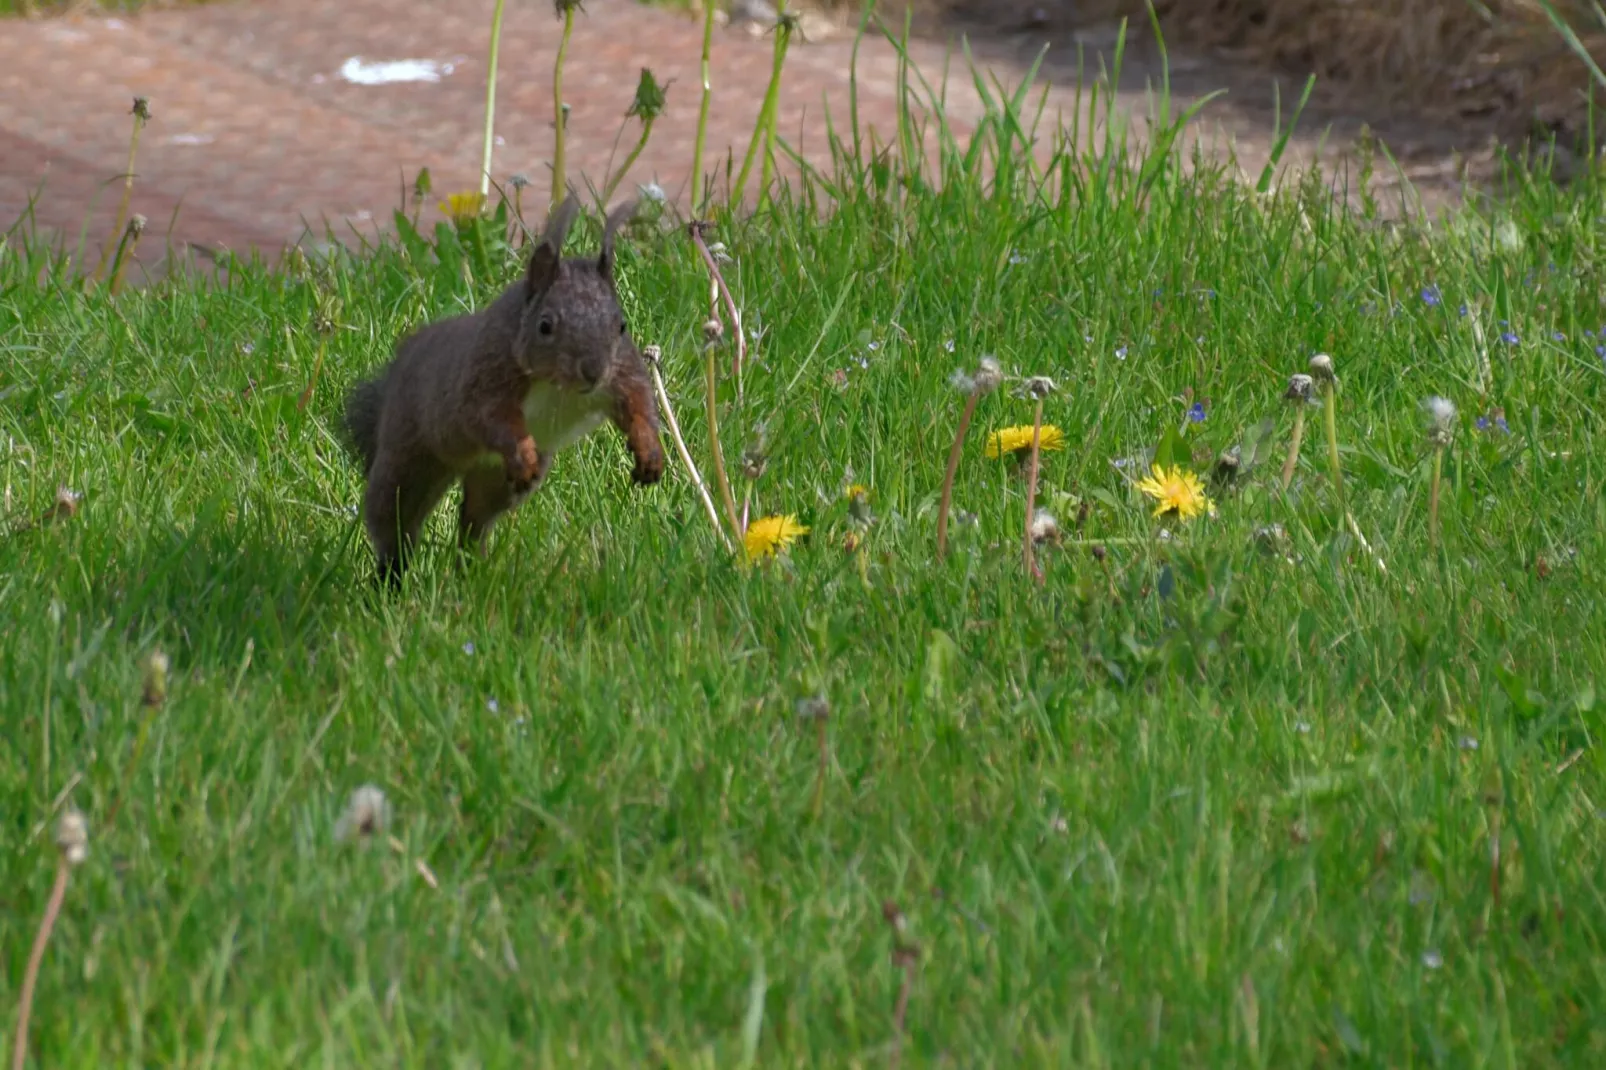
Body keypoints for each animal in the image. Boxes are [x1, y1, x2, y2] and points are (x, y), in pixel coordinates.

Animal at [338, 197, 664, 584]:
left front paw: (649, 452)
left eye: (621, 325)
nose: (593, 372)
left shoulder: (623, 371)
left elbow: (638, 402)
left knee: (474, 521)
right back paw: (390, 579)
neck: (559, 385)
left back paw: (471, 570)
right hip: (410, 459)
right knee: (395, 521)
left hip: (493, 481)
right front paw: (522, 451)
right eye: (545, 326)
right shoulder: (487, 375)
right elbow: (489, 418)